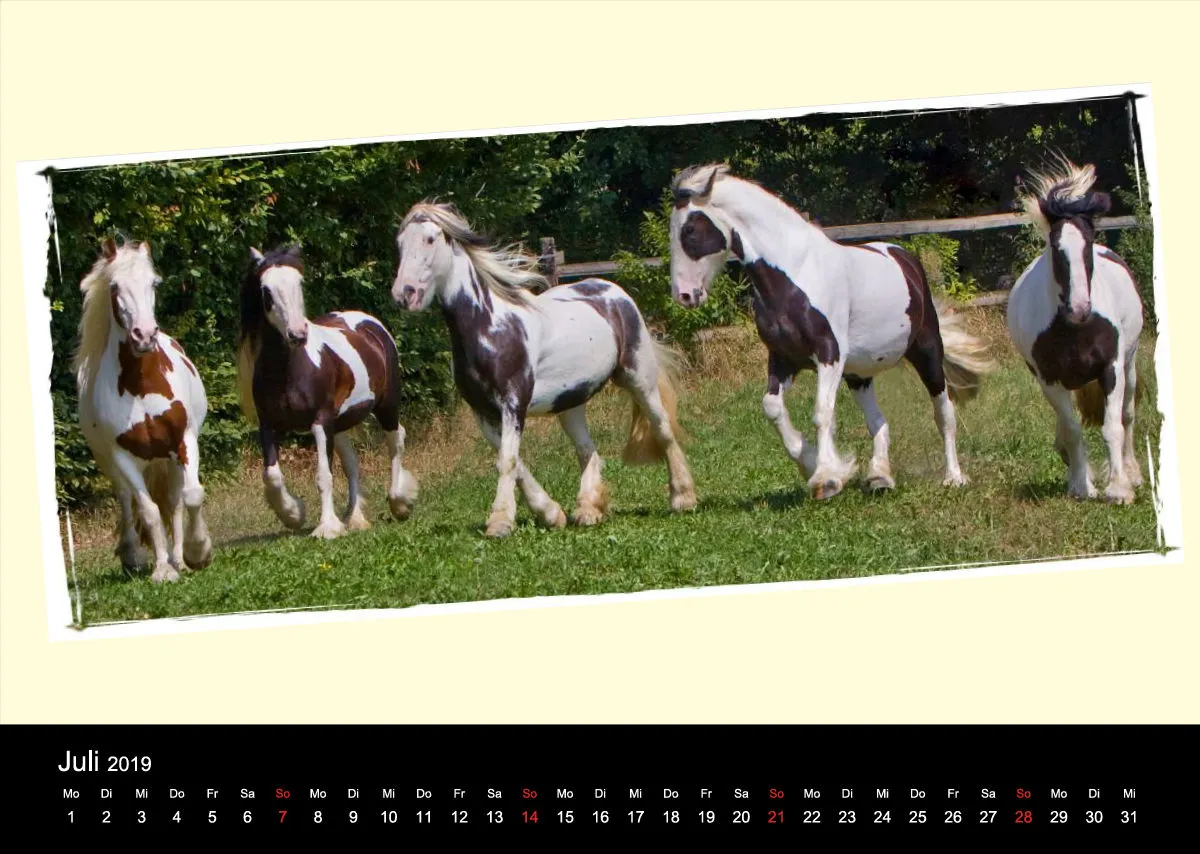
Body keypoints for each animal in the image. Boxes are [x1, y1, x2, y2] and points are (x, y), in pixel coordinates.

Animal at [74, 237, 213, 582]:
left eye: (154, 283)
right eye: (114, 286)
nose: (145, 335)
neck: (141, 386)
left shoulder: (184, 440)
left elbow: (191, 495)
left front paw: (198, 552)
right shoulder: (122, 455)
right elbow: (148, 511)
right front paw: (161, 569)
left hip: (169, 458)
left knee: (175, 502)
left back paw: (180, 558)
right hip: (111, 461)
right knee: (127, 500)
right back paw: (134, 556)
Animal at [237, 246, 418, 539]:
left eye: (299, 282)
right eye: (266, 290)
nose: (297, 334)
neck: (290, 369)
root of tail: (370, 324)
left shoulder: (320, 421)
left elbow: (323, 475)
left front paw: (327, 528)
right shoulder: (268, 425)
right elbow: (272, 476)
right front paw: (293, 515)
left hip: (386, 405)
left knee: (396, 441)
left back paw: (399, 503)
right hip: (341, 424)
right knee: (352, 463)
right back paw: (355, 518)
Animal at [391, 202, 696, 538]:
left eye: (431, 239)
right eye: (400, 243)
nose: (404, 294)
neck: (489, 327)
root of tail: (613, 290)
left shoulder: (513, 403)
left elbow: (507, 461)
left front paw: (500, 522)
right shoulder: (483, 412)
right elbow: (515, 462)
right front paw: (550, 515)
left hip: (638, 378)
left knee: (663, 429)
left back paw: (683, 498)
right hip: (571, 401)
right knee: (588, 450)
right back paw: (588, 510)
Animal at [668, 164, 995, 500]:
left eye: (689, 230)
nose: (684, 295)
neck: (795, 274)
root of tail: (905, 260)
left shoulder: (829, 354)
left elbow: (822, 412)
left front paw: (826, 479)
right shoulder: (784, 359)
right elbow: (772, 407)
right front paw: (813, 464)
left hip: (927, 351)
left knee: (944, 413)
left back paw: (954, 477)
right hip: (859, 374)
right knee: (879, 422)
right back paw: (879, 477)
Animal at [1006, 157, 1144, 504]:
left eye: (1088, 243)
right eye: (1055, 247)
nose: (1079, 308)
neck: (1077, 331)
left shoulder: (1111, 369)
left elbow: (1112, 426)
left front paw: (1119, 488)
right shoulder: (1050, 379)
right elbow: (1072, 429)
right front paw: (1082, 485)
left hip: (1130, 366)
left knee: (1128, 415)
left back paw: (1132, 472)